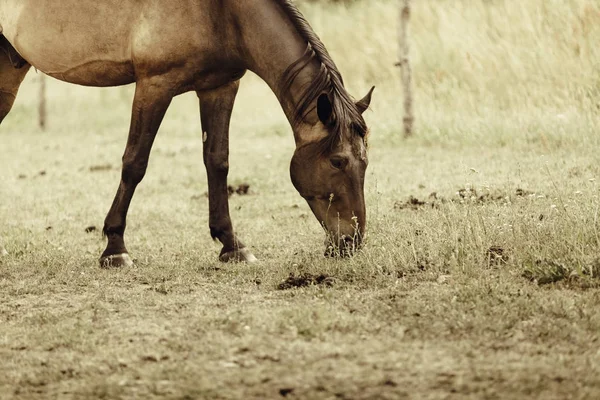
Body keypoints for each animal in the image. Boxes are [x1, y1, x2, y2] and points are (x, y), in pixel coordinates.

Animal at [0, 0, 372, 268]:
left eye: (365, 162)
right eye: (338, 161)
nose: (351, 242)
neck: (221, 12)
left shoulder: (220, 87)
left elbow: (217, 161)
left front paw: (232, 245)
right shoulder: (154, 85)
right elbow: (135, 163)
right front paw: (115, 248)